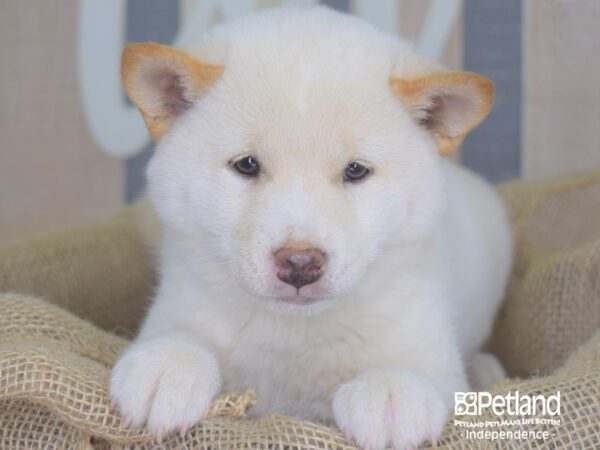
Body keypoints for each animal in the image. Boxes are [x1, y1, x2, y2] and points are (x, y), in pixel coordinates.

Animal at [111, 4, 510, 450]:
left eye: (355, 171)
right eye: (246, 165)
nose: (300, 263)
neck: (295, 335)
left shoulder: (433, 353)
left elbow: (416, 373)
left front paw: (391, 391)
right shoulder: (181, 303)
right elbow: (181, 335)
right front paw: (167, 365)